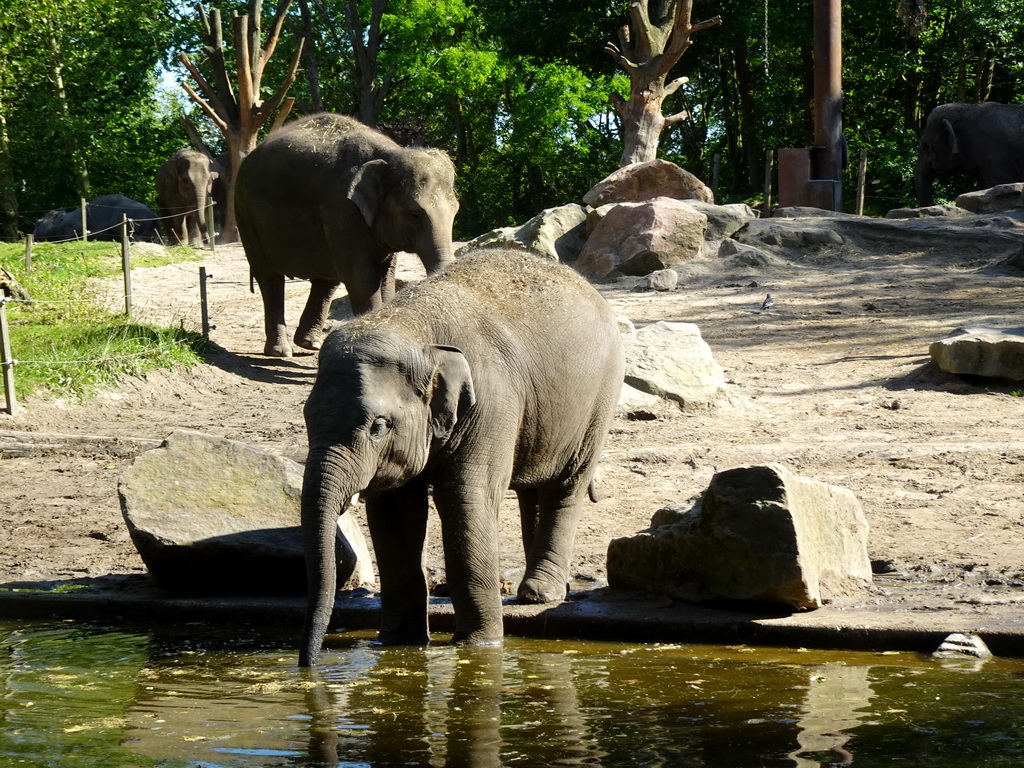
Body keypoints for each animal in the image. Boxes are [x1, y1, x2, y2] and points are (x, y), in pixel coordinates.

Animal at [235, 112, 460, 360]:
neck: (391, 154)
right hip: (245, 213)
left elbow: (386, 278)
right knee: (270, 277)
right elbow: (362, 277)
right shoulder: (341, 208)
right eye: (414, 215)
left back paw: (310, 344)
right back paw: (280, 351)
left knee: (327, 278)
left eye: (455, 212)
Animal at [299, 247, 622, 667]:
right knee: (533, 490)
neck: (413, 327)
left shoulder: (491, 403)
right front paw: (398, 642)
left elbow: (465, 500)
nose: (308, 666)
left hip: (599, 399)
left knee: (565, 487)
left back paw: (541, 593)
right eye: (307, 416)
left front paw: (479, 646)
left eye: (378, 426)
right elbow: (393, 516)